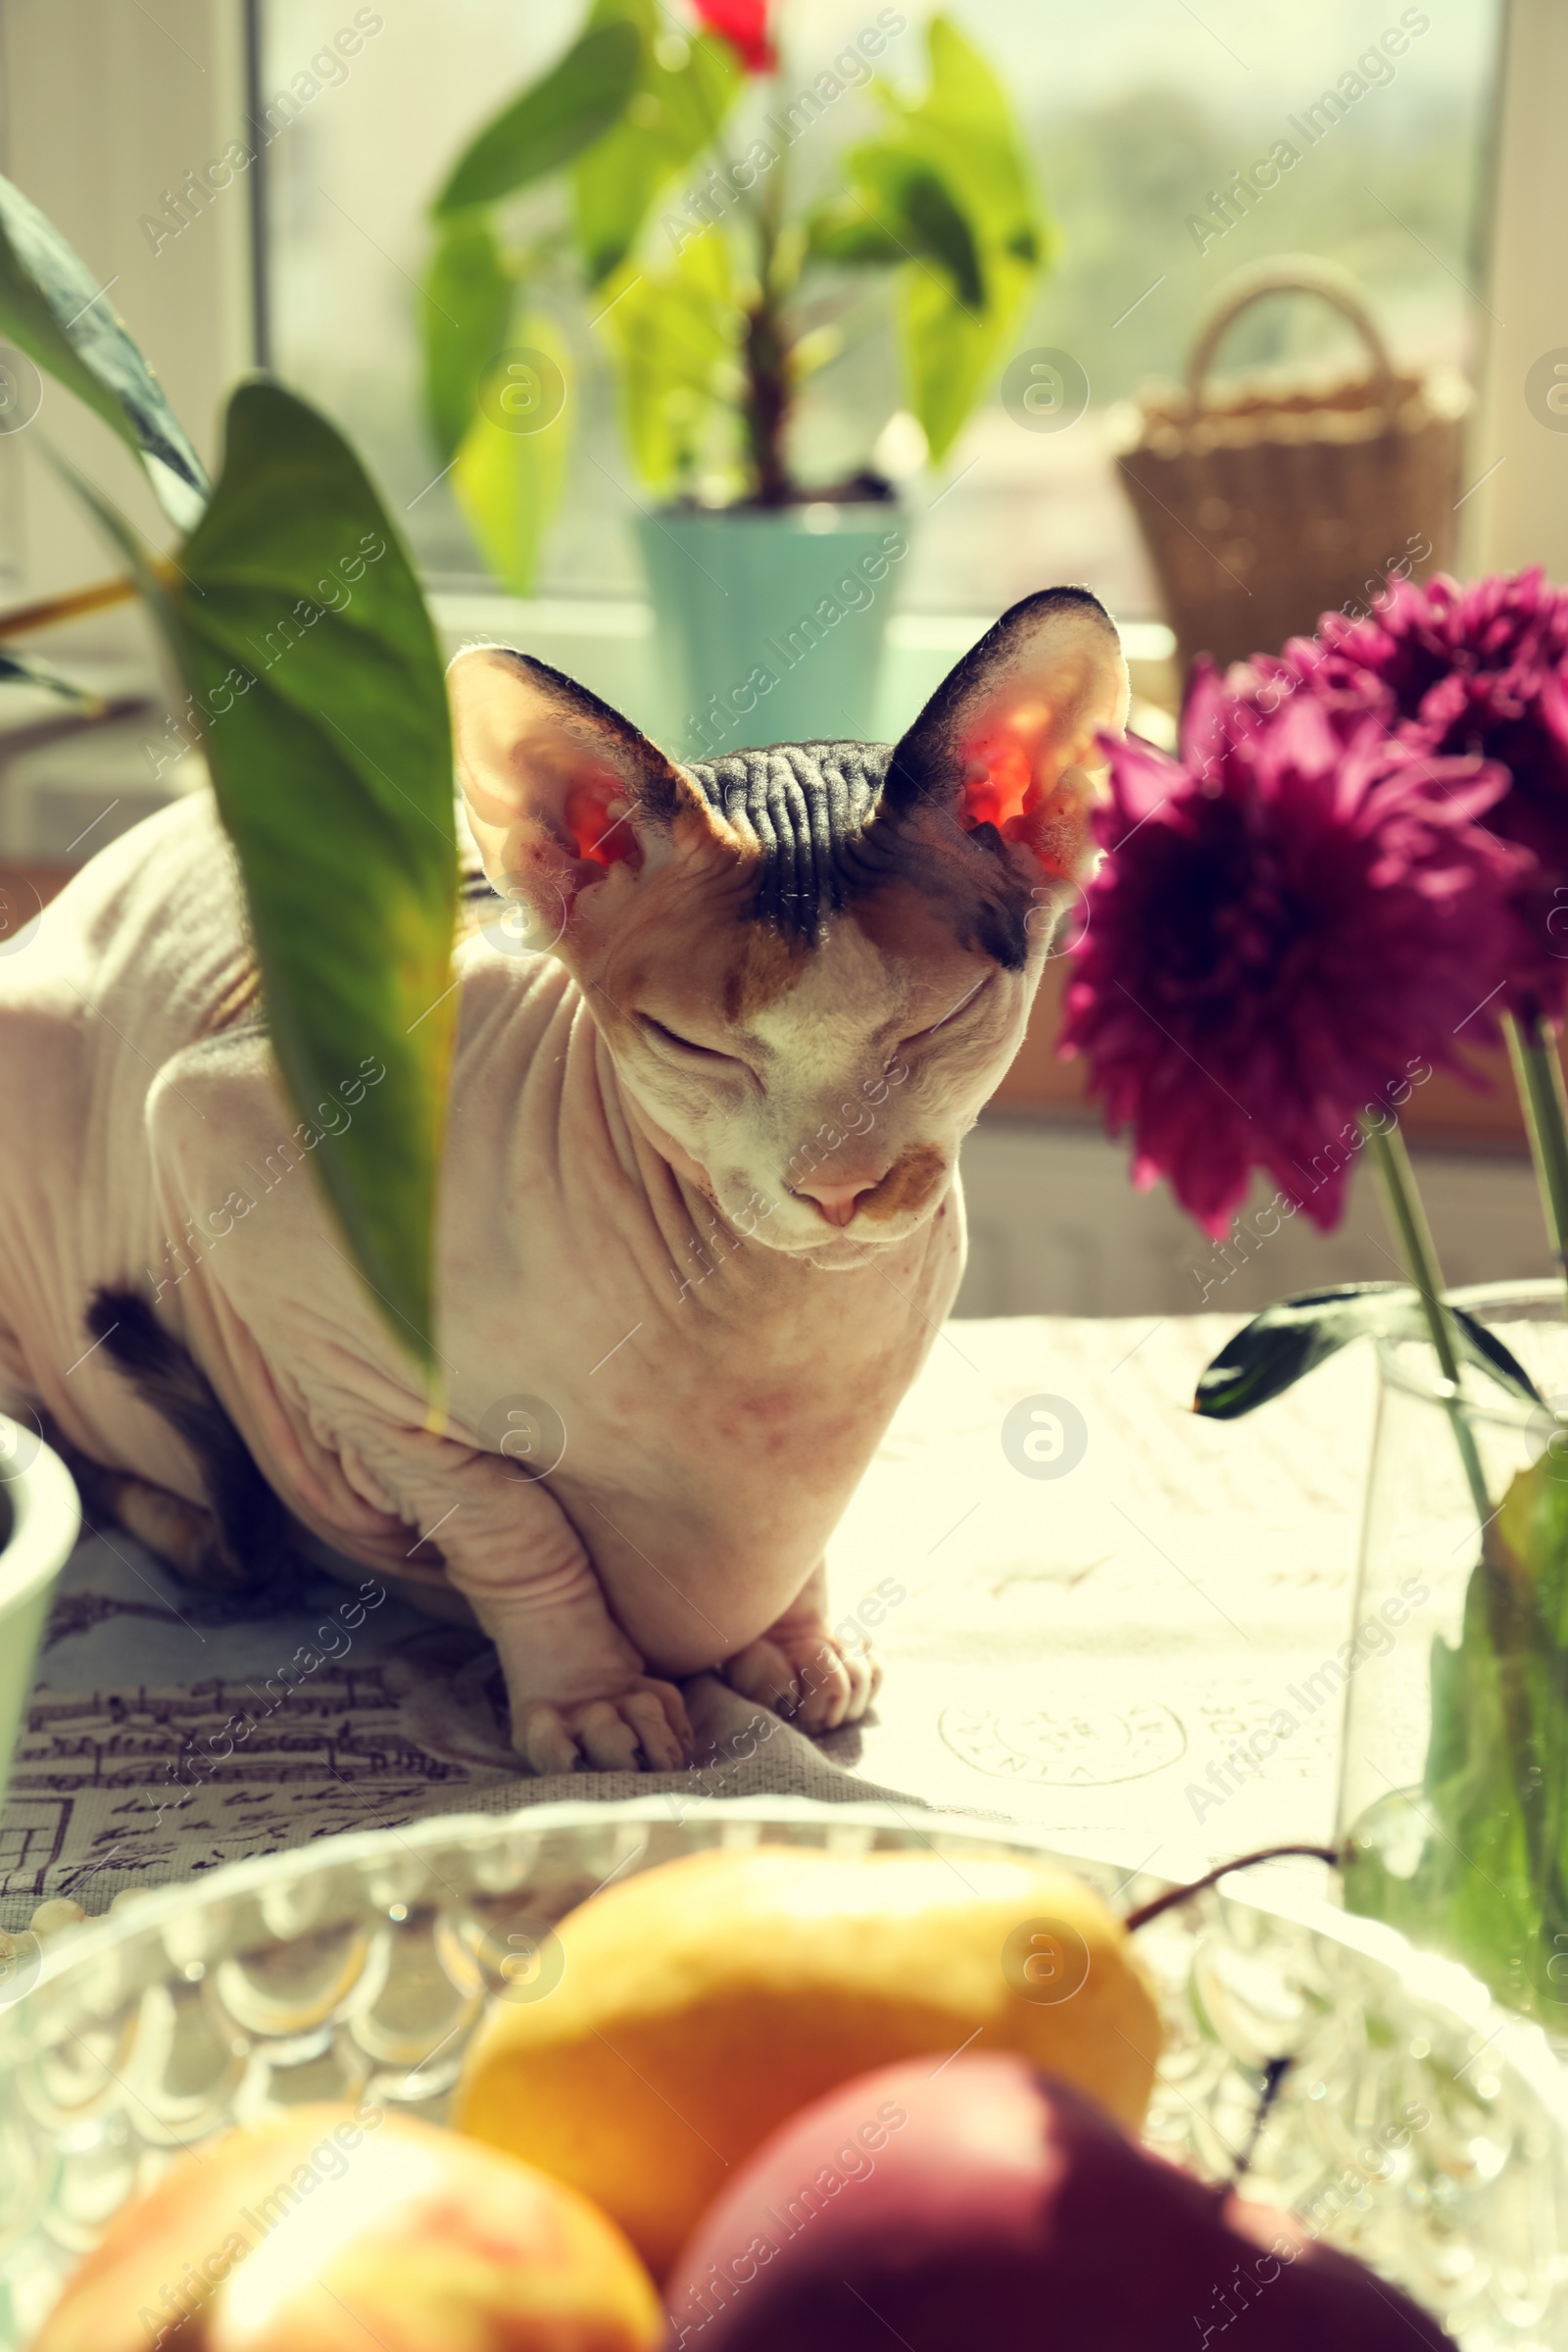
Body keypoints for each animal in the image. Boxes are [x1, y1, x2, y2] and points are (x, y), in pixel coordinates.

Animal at [0, 583, 1128, 1768]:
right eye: (692, 1045)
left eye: (943, 1019)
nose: (839, 1188)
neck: (782, 1336)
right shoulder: (218, 1137)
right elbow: (505, 1514)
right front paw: (592, 1698)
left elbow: (797, 1550)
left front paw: (797, 1640)